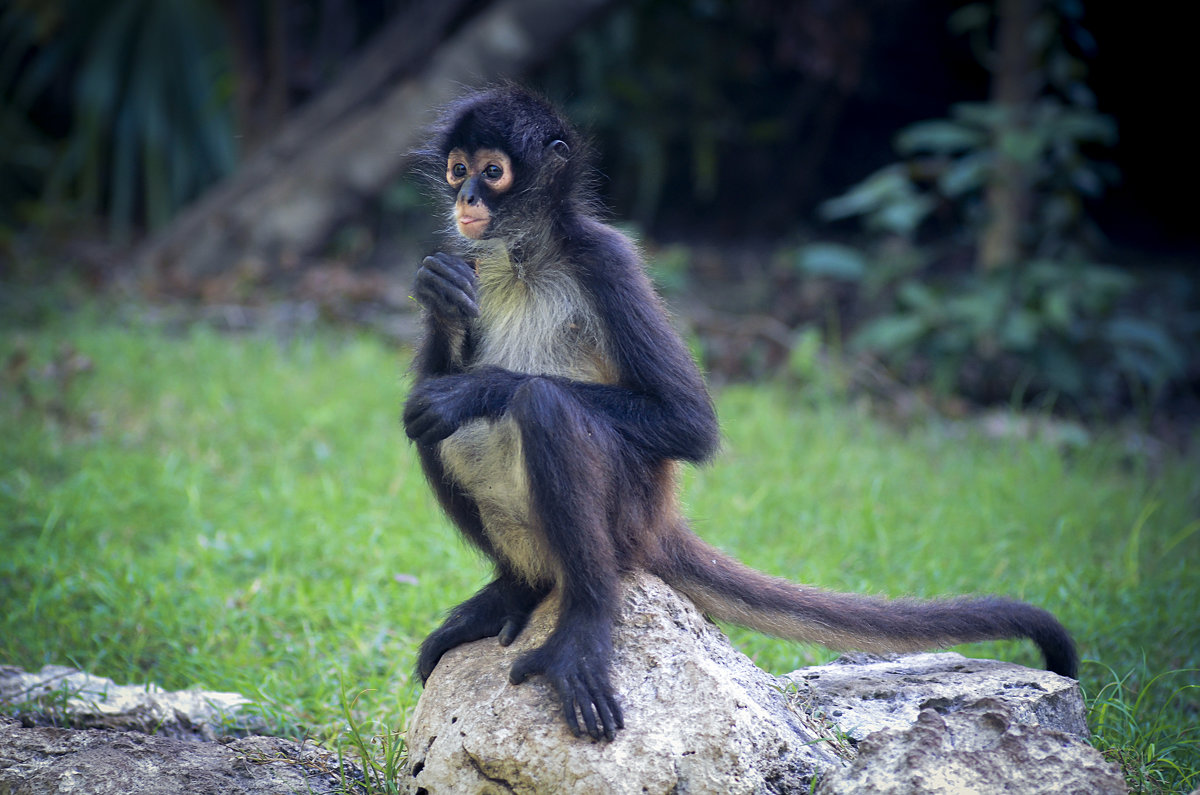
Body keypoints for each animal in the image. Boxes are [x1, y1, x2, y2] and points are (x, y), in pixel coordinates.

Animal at [403, 85, 1080, 739]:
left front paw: (475, 388)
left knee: (539, 404)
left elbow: (688, 424)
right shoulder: (478, 257)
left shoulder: (605, 257)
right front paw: (440, 298)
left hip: (628, 513)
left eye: (492, 171)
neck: (521, 256)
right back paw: (517, 590)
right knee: (425, 422)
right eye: (457, 168)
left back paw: (585, 624)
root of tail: (659, 525)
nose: (465, 196)